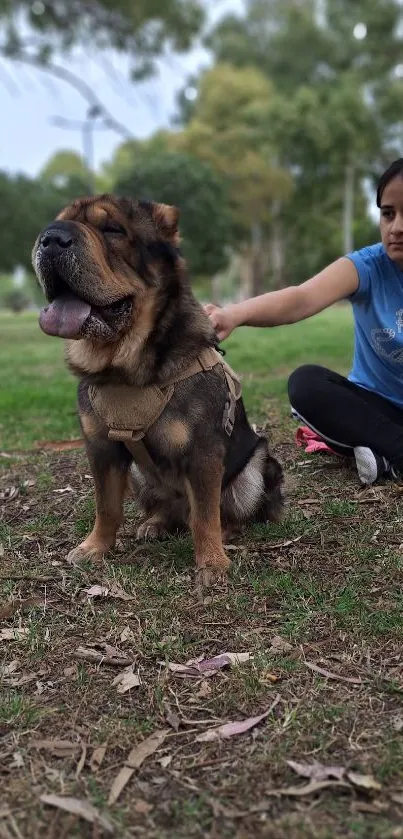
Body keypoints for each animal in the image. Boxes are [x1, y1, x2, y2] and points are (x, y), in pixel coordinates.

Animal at [32, 196, 284, 588]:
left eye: (113, 230)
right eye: (54, 223)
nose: (50, 239)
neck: (127, 371)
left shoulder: (204, 452)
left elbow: (205, 515)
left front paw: (212, 562)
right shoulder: (102, 448)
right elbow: (106, 506)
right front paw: (95, 547)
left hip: (256, 467)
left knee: (224, 510)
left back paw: (227, 531)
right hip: (141, 475)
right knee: (169, 509)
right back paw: (155, 524)